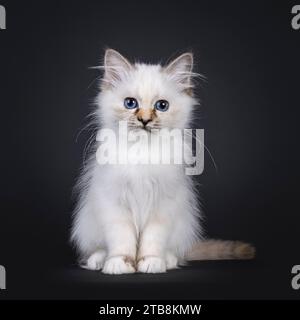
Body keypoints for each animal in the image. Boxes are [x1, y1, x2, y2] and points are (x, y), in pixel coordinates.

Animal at [71, 48, 255, 274]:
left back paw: (168, 261)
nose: (145, 120)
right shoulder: (115, 203)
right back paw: (98, 260)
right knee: (97, 248)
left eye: (162, 106)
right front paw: (119, 264)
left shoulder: (163, 205)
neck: (142, 152)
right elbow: (122, 240)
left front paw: (151, 262)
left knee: (174, 250)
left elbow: (152, 240)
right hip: (89, 223)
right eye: (130, 103)